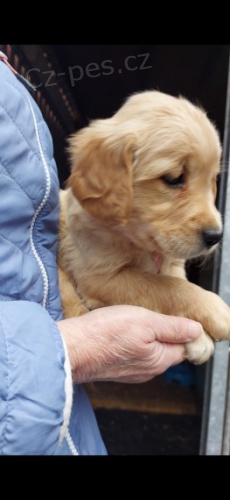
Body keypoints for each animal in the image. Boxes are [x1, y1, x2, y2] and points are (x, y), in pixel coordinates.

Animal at [57, 90, 230, 364]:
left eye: (212, 180)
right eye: (173, 178)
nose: (216, 236)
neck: (137, 239)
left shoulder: (172, 260)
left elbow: (174, 280)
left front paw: (197, 337)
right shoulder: (100, 276)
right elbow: (166, 287)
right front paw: (215, 313)